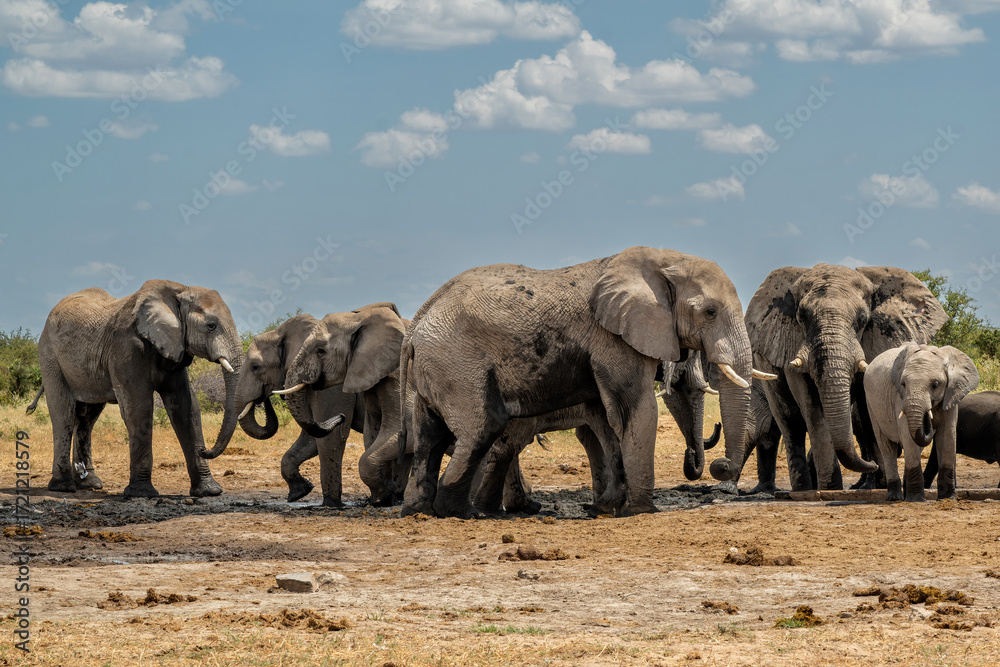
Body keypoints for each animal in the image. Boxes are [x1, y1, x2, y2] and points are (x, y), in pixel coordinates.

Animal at [37, 279, 243, 498]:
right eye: (211, 326)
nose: (205, 450)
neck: (179, 290)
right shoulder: (127, 347)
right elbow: (139, 408)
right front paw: (142, 493)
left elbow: (187, 408)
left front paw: (209, 491)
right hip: (50, 357)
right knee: (64, 416)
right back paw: (63, 486)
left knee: (86, 420)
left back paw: (90, 484)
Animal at [234, 312, 363, 504]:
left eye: (256, 367)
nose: (341, 417)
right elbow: (311, 436)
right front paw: (300, 492)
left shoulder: (333, 387)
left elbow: (330, 438)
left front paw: (331, 504)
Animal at [398, 246, 767, 519]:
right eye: (709, 312)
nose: (719, 466)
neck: (662, 259)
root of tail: (416, 325)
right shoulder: (613, 338)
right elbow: (637, 410)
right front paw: (642, 511)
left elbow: (608, 420)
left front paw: (606, 508)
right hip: (458, 363)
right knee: (483, 426)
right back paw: (463, 513)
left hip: (436, 371)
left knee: (430, 434)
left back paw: (418, 511)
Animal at [744, 264, 947, 492]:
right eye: (801, 318)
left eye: (862, 320)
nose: (872, 464)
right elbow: (811, 407)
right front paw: (831, 488)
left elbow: (867, 408)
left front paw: (881, 484)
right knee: (789, 420)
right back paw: (803, 489)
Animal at [864, 343, 979, 501]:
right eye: (903, 384)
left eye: (935, 384)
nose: (928, 421)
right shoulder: (900, 398)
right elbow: (908, 437)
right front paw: (916, 500)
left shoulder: (951, 394)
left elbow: (947, 436)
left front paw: (948, 498)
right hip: (871, 404)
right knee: (887, 446)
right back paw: (895, 497)